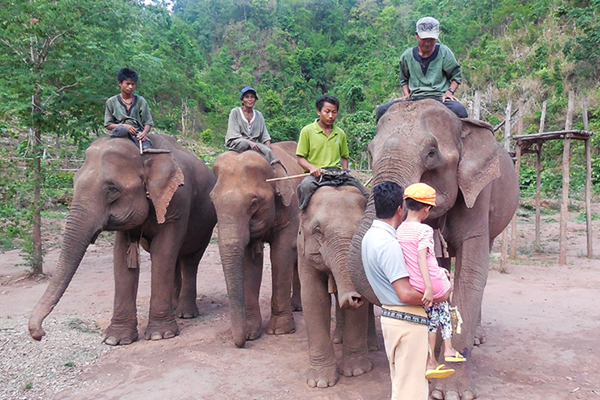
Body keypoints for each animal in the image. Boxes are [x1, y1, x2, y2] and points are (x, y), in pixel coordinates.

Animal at [28, 134, 216, 344]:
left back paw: (186, 314)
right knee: (175, 260)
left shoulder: (177, 202)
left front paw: (160, 335)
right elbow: (121, 257)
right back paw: (175, 309)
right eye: (74, 182)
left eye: (112, 189)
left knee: (189, 260)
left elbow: (163, 252)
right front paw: (115, 339)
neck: (144, 154)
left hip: (205, 225)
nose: (39, 334)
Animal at [211, 142, 304, 348]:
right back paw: (296, 307)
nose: (239, 343)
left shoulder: (291, 207)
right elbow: (249, 261)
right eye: (212, 200)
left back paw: (298, 308)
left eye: (254, 203)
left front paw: (280, 331)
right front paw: (251, 334)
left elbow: (282, 253)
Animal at [298, 185, 372, 388]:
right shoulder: (304, 252)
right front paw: (320, 383)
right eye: (317, 231)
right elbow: (313, 298)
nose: (353, 297)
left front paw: (356, 372)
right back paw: (338, 338)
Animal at [346, 99, 520, 400]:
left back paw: (477, 338)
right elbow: (434, 265)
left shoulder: (478, 194)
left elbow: (471, 272)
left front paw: (450, 392)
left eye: (431, 153)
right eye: (370, 151)